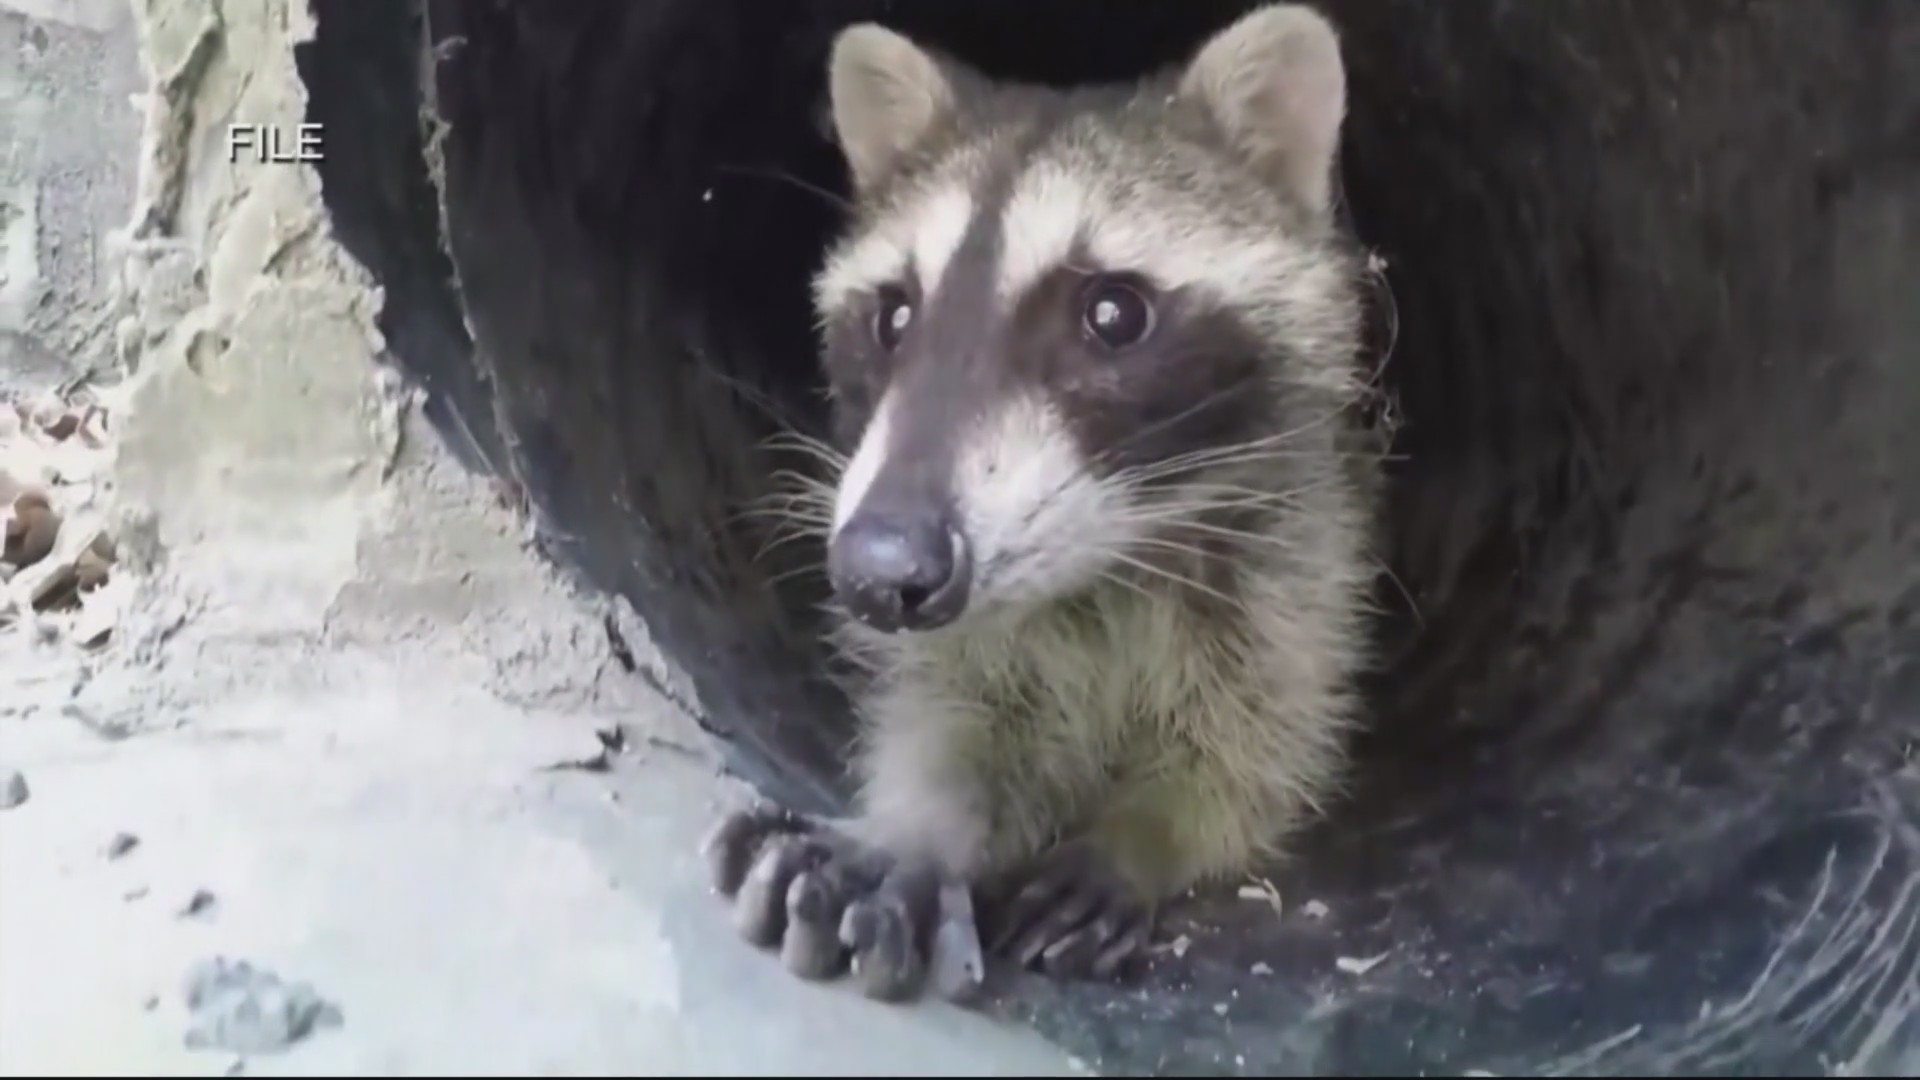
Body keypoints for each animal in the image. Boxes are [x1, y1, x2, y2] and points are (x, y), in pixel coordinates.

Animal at [706, 2, 1382, 1002]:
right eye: (894, 316)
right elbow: (945, 713)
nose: (880, 571)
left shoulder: (1307, 552)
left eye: (1113, 314)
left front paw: (1149, 831)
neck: (1105, 568)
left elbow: (1270, 744)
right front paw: (913, 825)